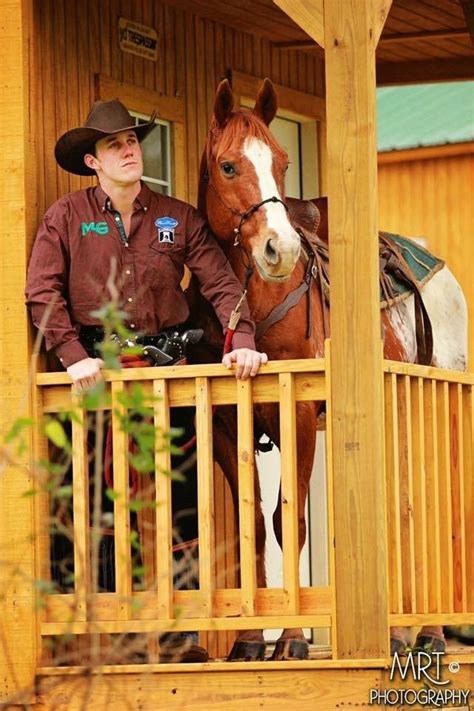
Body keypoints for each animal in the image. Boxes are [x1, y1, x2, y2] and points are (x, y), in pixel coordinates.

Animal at [191, 78, 468, 660]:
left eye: (281, 162)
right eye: (228, 166)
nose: (280, 249)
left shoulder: (297, 416)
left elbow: (289, 520)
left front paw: (292, 640)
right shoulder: (226, 425)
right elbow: (253, 524)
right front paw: (249, 640)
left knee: (428, 513)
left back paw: (430, 637)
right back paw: (399, 635)